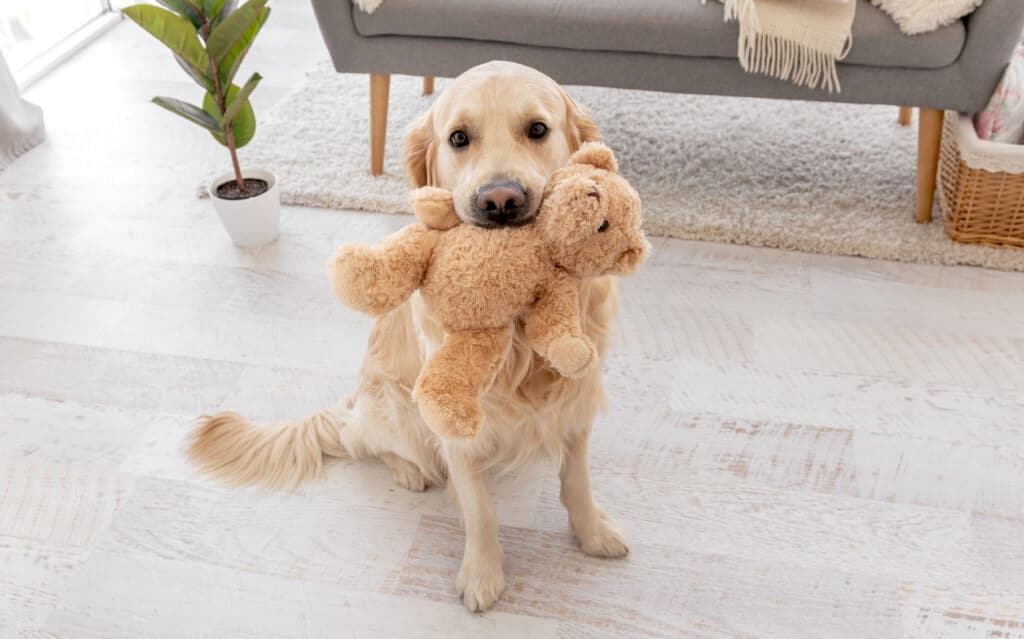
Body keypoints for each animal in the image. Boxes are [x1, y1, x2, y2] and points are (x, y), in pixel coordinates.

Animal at [189, 61, 626, 614]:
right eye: (458, 138)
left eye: (538, 129)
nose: (500, 200)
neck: (522, 333)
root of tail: (352, 400)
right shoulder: (456, 424)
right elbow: (479, 510)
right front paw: (482, 575)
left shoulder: (577, 397)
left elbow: (577, 480)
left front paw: (593, 534)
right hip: (397, 406)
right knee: (360, 441)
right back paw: (407, 470)